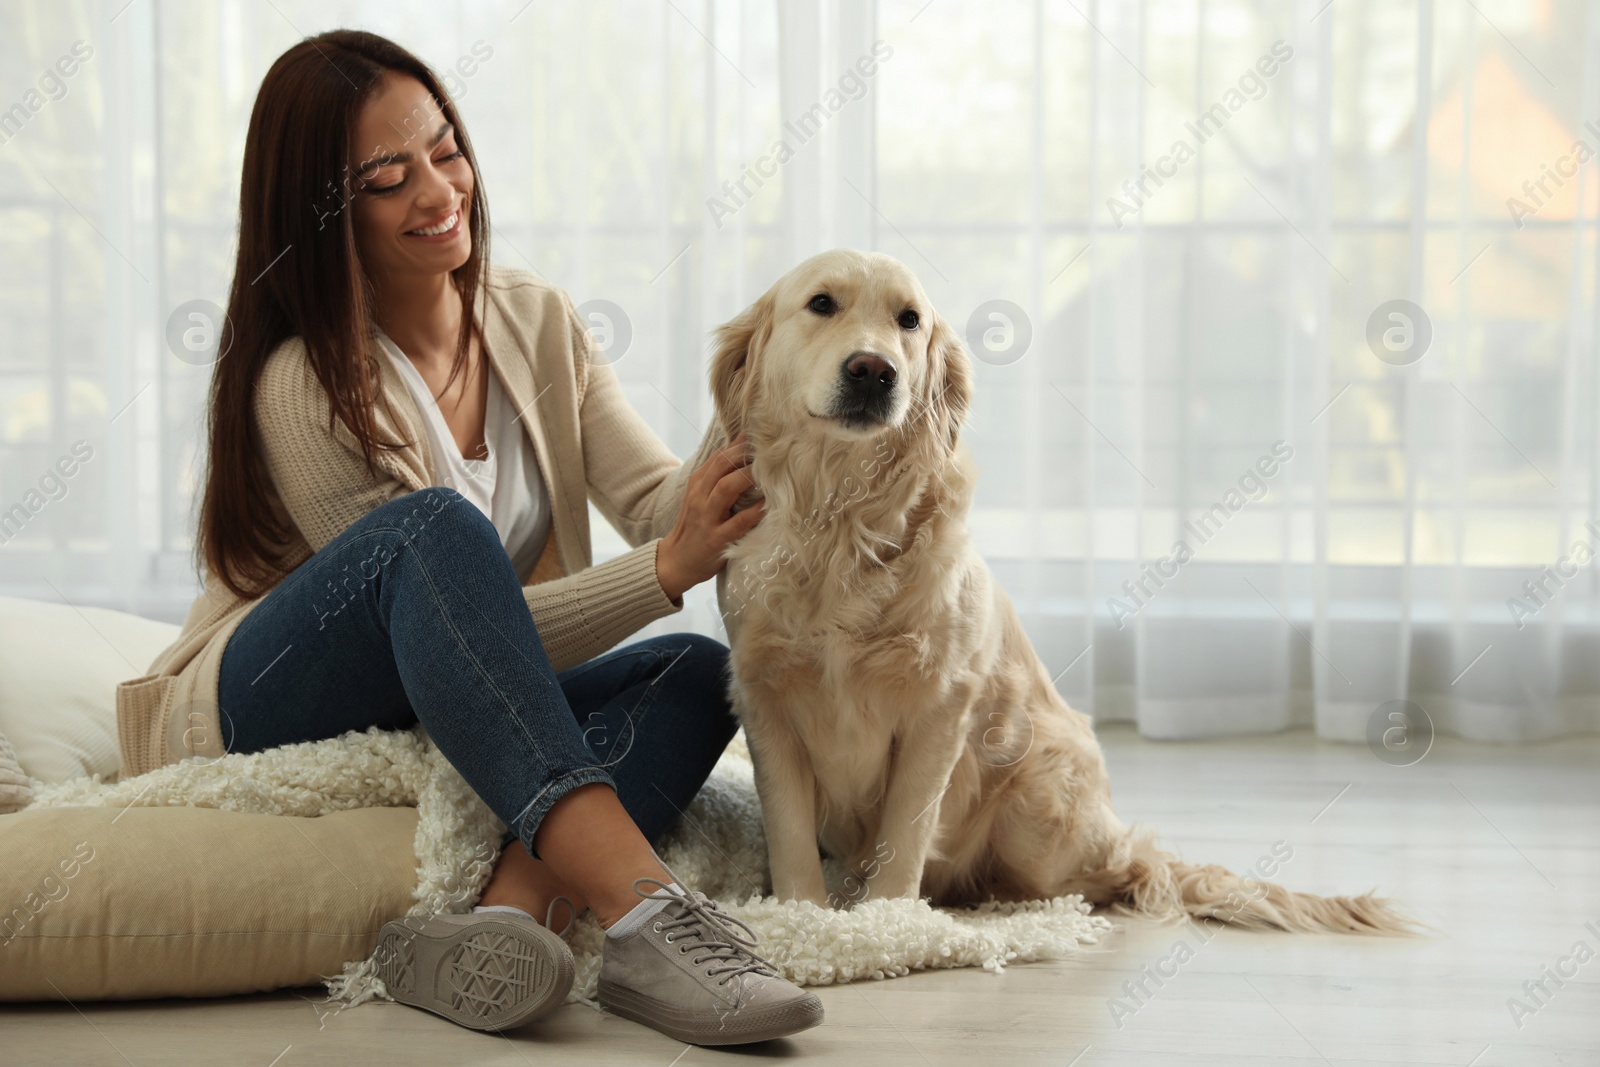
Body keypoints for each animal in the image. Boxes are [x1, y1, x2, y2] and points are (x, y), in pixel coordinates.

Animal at [668, 251, 1408, 934]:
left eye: (909, 321)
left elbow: (904, 833)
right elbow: (790, 831)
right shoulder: (764, 694)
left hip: (1037, 802)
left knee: (1130, 867)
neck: (840, 522)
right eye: (821, 304)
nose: (875, 371)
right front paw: (805, 918)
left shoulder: (940, 704)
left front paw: (887, 925)